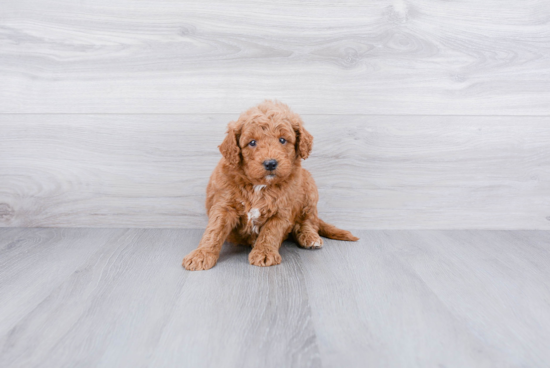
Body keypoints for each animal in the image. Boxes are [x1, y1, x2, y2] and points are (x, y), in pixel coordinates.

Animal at [183, 100, 360, 270]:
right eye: (252, 142)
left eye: (282, 140)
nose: (270, 163)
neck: (259, 186)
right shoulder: (224, 204)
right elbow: (214, 230)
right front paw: (201, 255)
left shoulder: (282, 210)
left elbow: (270, 232)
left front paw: (264, 253)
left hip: (309, 188)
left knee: (308, 221)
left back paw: (310, 237)